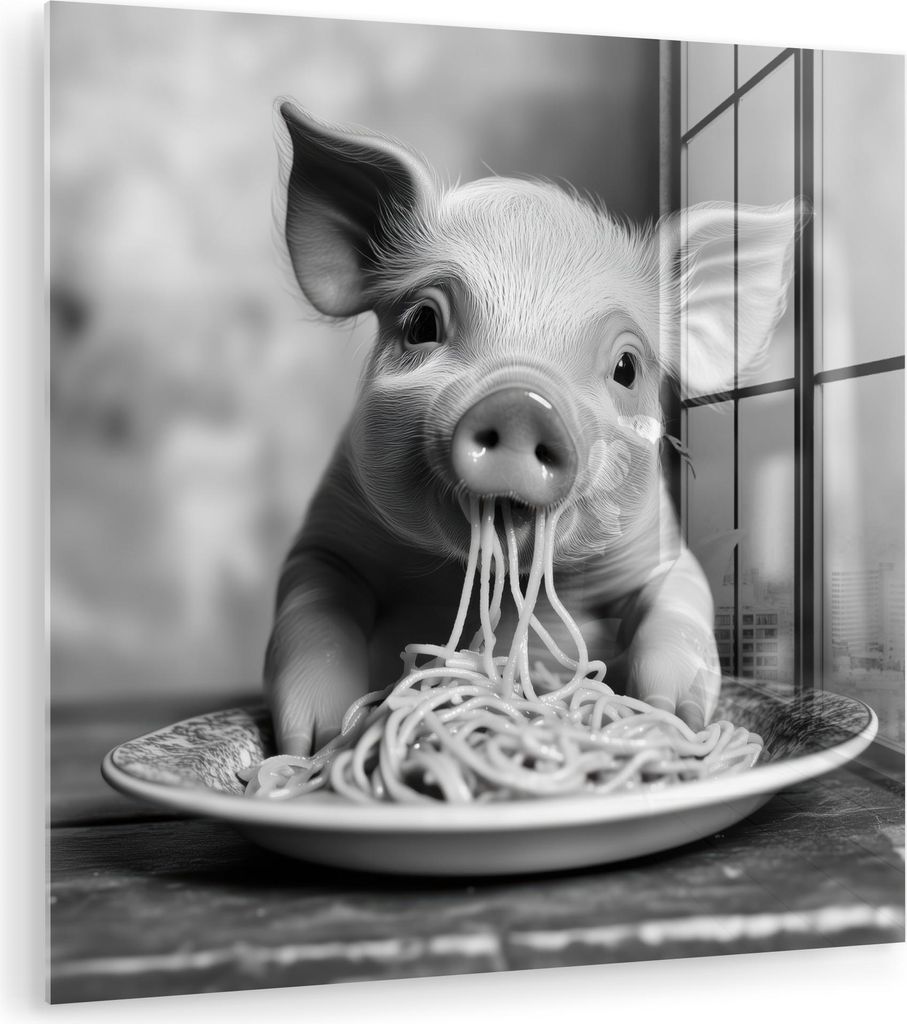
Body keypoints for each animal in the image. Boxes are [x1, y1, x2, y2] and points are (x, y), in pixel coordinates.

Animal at [264, 102, 800, 757]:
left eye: (627, 366)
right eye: (421, 324)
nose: (521, 402)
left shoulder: (658, 548)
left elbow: (677, 607)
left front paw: (672, 720)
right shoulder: (330, 534)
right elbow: (314, 614)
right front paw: (312, 745)